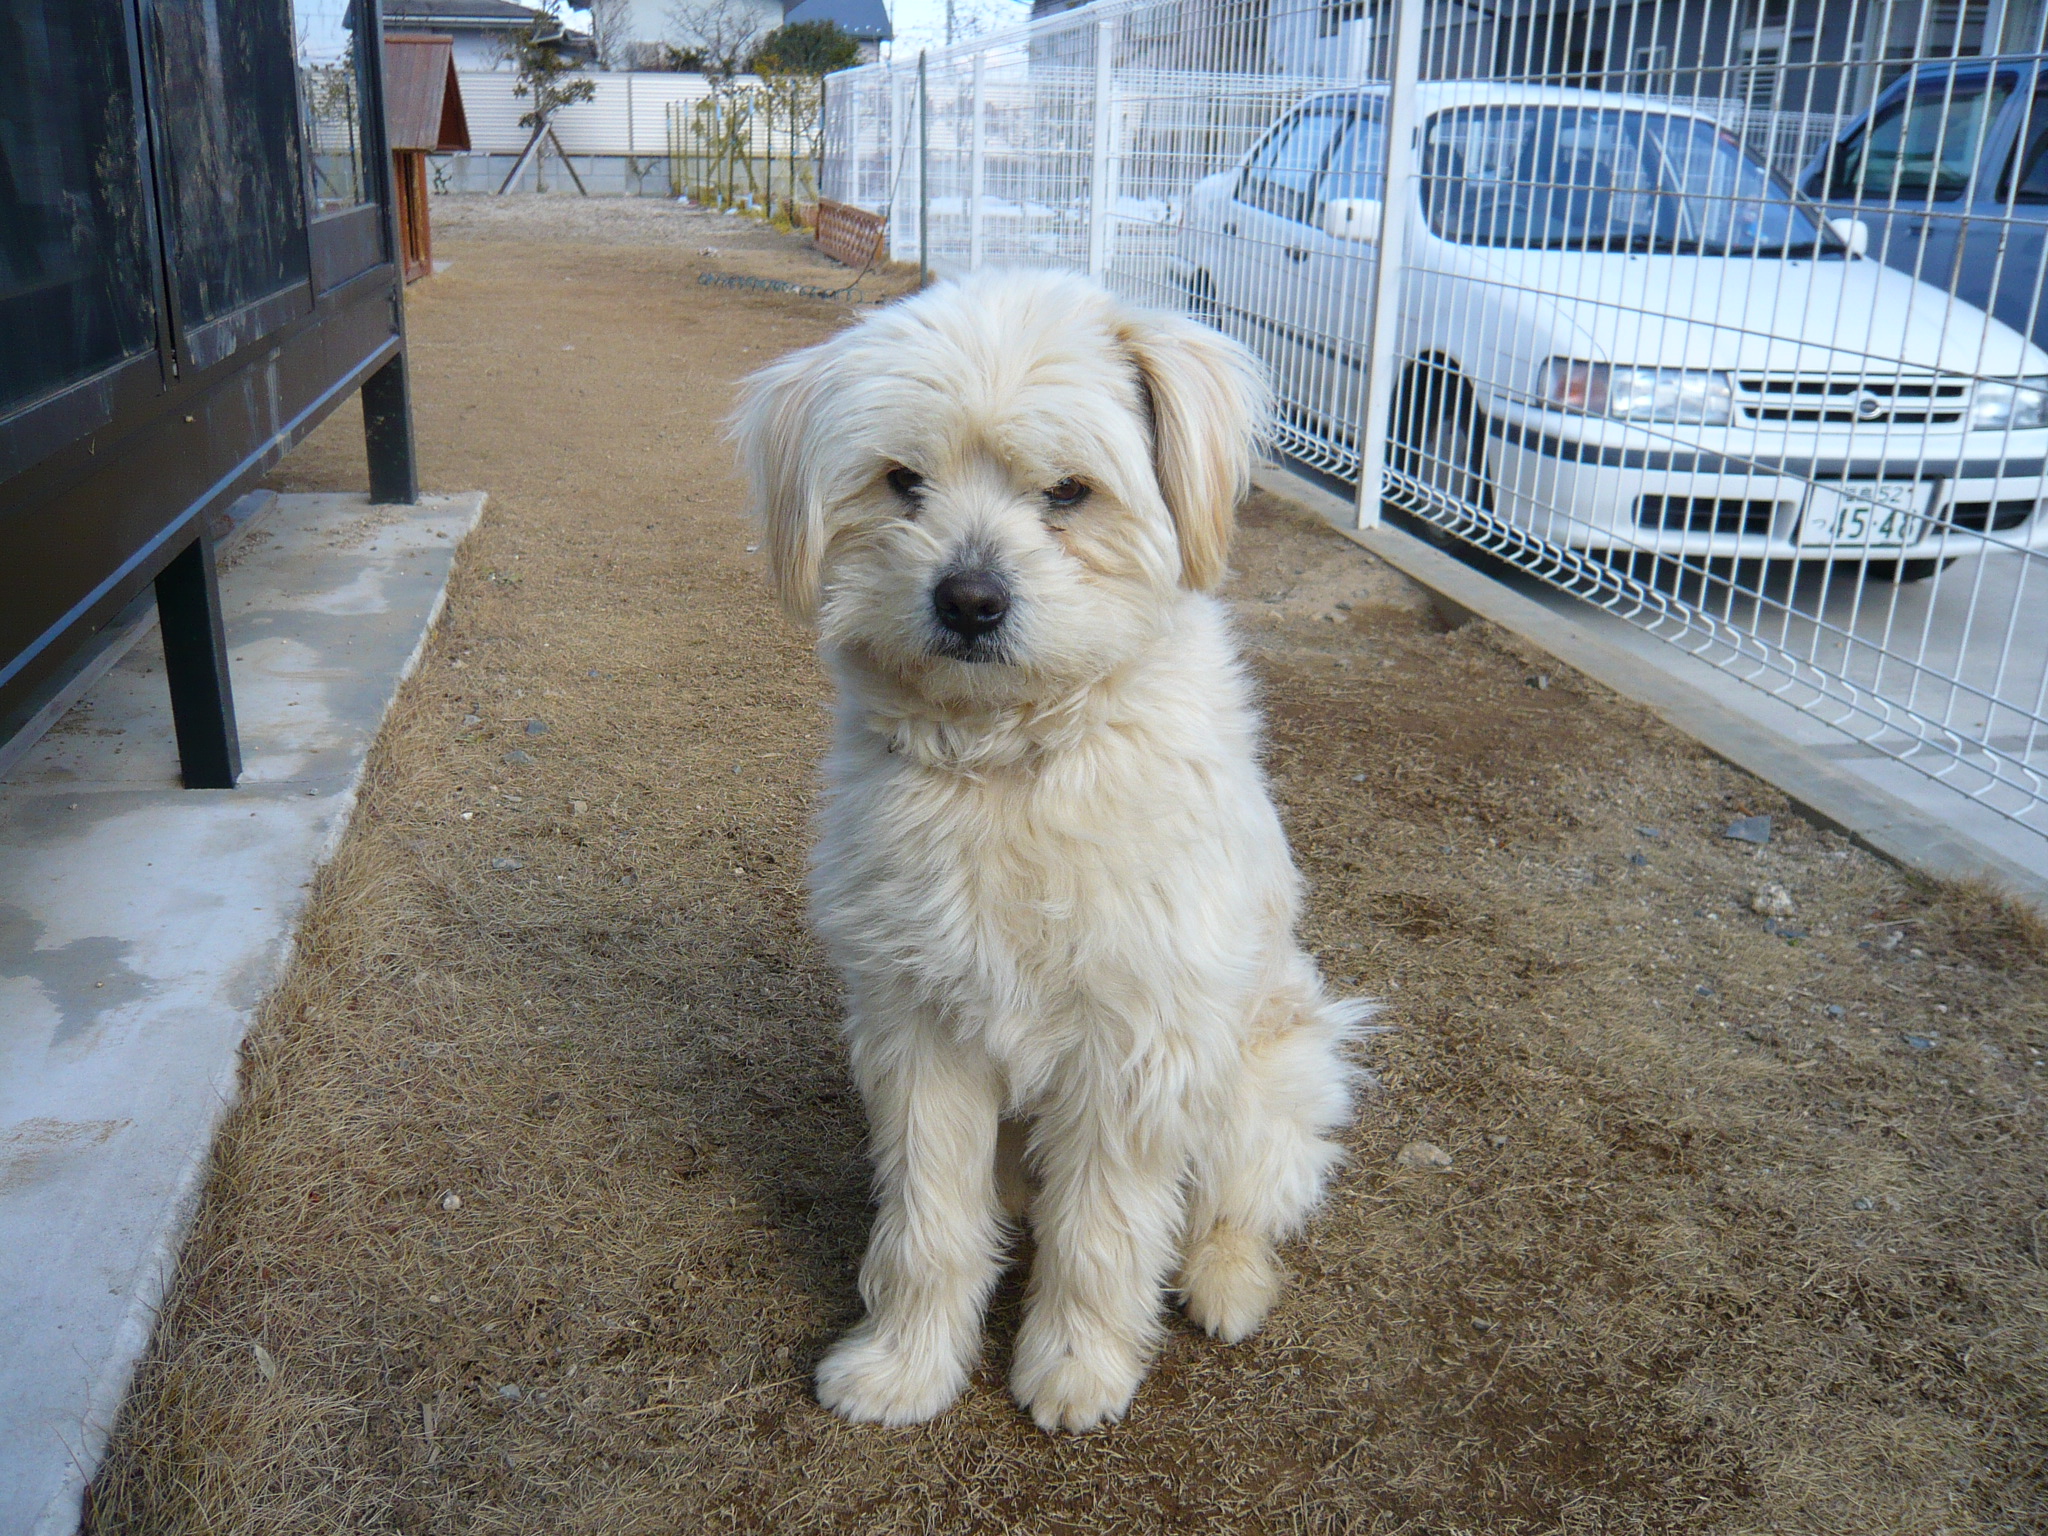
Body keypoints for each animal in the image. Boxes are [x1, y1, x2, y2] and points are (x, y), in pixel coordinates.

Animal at [729, 270, 1368, 1441]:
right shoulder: (919, 1030)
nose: (969, 601)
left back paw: (1224, 1282)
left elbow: (1102, 1235)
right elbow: (929, 1224)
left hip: (1260, 1086)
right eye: (903, 481)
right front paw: (905, 1365)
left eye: (1069, 491)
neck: (1012, 760)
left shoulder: (1133, 1046)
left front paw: (1077, 1368)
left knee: (1238, 1205)